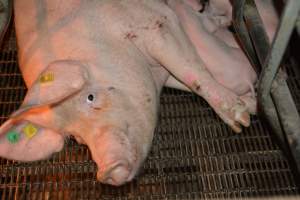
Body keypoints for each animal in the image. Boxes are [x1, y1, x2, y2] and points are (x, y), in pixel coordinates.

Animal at [0, 0, 250, 186]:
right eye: (75, 137)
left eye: (90, 97)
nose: (108, 171)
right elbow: (184, 76)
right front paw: (249, 103)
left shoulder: (155, 22)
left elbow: (189, 71)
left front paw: (242, 119)